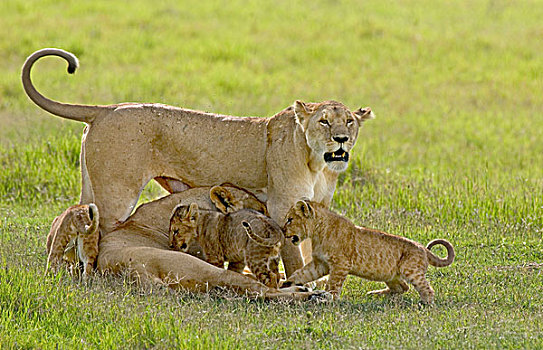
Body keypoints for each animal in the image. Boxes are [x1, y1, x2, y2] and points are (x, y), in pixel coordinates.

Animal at [23, 47, 376, 276]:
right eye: (324, 122)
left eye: (349, 122)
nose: (341, 139)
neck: (318, 164)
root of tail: (107, 109)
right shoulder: (281, 206)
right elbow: (294, 257)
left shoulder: (314, 208)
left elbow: (305, 248)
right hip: (116, 194)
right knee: (100, 231)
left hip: (91, 186)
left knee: (75, 216)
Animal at [96, 183, 328, 300]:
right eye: (261, 212)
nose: (279, 232)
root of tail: (133, 272)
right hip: (204, 269)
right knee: (261, 291)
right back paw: (313, 295)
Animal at [280, 200, 454, 304]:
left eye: (290, 219)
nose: (282, 230)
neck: (317, 232)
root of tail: (423, 248)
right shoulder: (320, 263)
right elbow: (302, 273)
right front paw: (286, 283)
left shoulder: (340, 264)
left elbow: (333, 284)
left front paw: (327, 298)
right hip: (390, 275)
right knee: (403, 287)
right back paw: (375, 294)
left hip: (410, 269)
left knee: (426, 288)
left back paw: (425, 303)